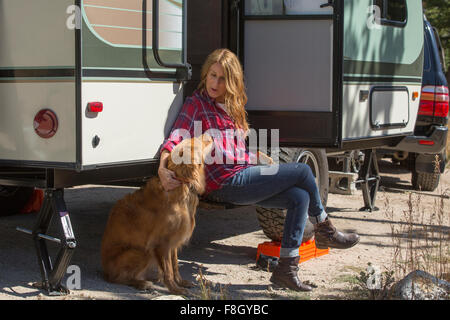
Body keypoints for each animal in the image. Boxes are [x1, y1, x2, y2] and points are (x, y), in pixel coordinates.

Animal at [101, 133, 214, 296]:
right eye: (196, 140)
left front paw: (181, 282)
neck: (182, 183)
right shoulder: (162, 242)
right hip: (142, 251)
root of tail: (105, 271)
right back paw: (142, 283)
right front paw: (175, 289)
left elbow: (175, 265)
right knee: (118, 278)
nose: (210, 134)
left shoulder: (173, 241)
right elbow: (168, 270)